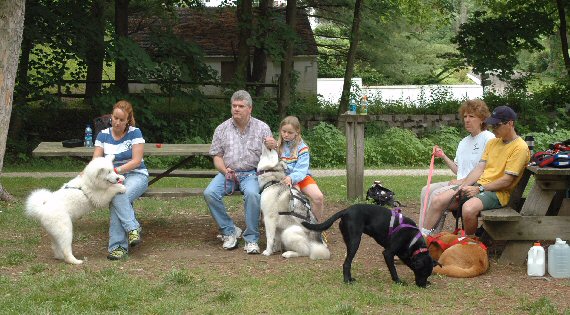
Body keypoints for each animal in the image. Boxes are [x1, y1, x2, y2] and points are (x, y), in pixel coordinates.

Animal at [302, 205, 434, 288]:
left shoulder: (404, 254)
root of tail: (346, 210)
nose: (423, 285)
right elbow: (393, 270)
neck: (413, 239)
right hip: (355, 241)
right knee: (346, 263)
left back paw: (350, 278)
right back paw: (347, 281)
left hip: (349, 240)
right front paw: (398, 281)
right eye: (422, 272)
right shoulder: (388, 253)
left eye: (428, 274)